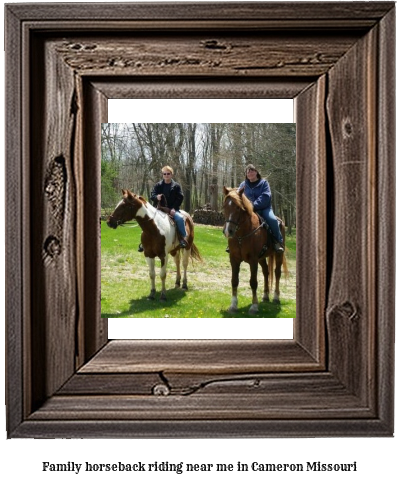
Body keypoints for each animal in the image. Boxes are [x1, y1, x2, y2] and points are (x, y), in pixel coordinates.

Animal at [223, 185, 290, 314]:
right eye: (224, 207)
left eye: (238, 207)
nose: (229, 231)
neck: (242, 234)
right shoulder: (234, 259)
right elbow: (234, 280)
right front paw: (233, 305)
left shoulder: (253, 260)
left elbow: (253, 282)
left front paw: (254, 306)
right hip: (262, 258)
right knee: (266, 272)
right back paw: (265, 296)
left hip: (278, 255)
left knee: (277, 273)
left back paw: (276, 297)